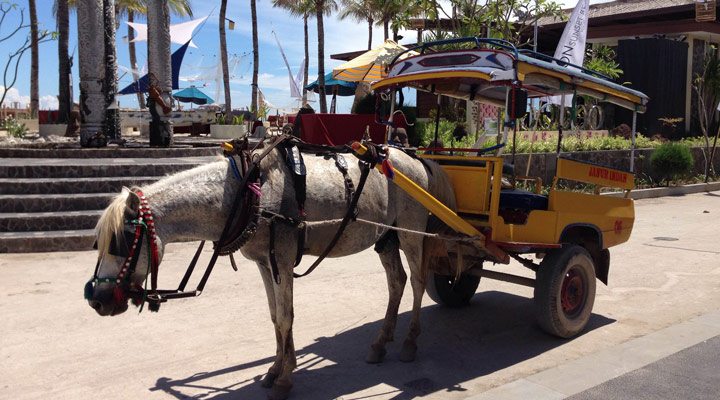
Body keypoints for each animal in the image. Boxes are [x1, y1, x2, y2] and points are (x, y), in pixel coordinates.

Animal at [86, 141, 456, 400]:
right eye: (99, 243)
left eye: (122, 241)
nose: (96, 299)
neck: (247, 195)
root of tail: (416, 159)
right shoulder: (266, 263)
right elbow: (275, 316)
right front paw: (275, 369)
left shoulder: (284, 258)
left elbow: (287, 316)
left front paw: (286, 378)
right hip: (385, 237)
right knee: (397, 282)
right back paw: (381, 342)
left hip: (410, 231)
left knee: (417, 281)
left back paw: (409, 342)